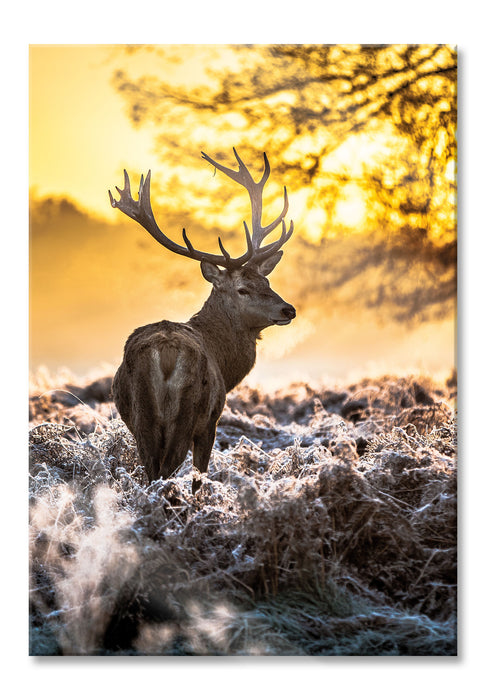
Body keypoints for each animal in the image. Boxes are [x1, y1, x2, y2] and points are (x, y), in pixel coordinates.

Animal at [109, 148, 296, 487]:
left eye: (267, 282)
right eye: (243, 289)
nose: (289, 309)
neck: (224, 361)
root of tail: (165, 353)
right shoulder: (211, 421)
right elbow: (200, 475)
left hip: (142, 416)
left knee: (151, 472)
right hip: (188, 413)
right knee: (167, 470)